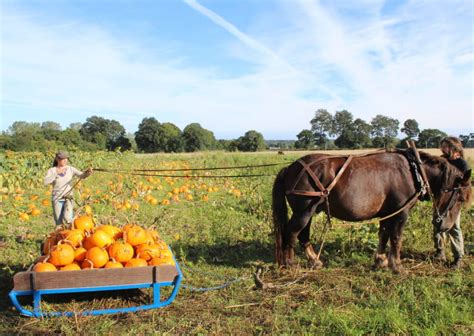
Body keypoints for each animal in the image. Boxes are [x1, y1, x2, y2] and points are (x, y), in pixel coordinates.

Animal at [272, 150, 472, 272]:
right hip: (303, 211)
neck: (414, 171)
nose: (445, 226)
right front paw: (396, 265)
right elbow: (396, 237)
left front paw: (380, 260)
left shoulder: (387, 212)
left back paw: (314, 260)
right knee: (291, 232)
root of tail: (290, 168)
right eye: (460, 198)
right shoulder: (401, 213)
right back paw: (289, 263)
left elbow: (383, 235)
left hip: (309, 211)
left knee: (302, 234)